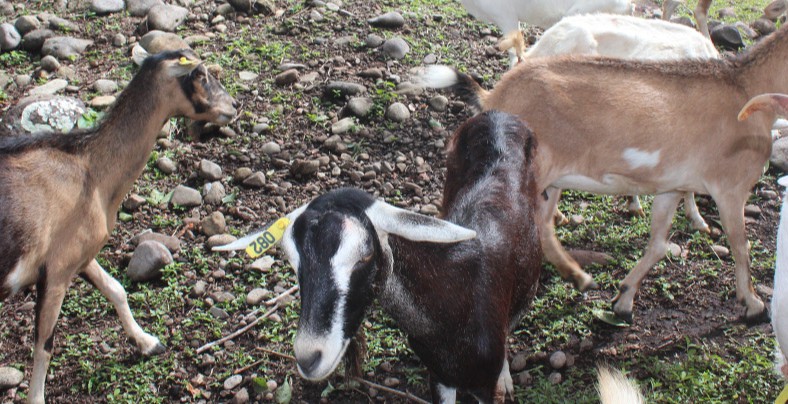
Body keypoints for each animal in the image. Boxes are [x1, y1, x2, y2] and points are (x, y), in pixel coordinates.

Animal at [0, 48, 234, 404]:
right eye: (199, 74)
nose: (234, 105)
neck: (89, 171)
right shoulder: (56, 271)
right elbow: (45, 345)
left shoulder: (80, 253)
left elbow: (116, 289)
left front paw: (148, 343)